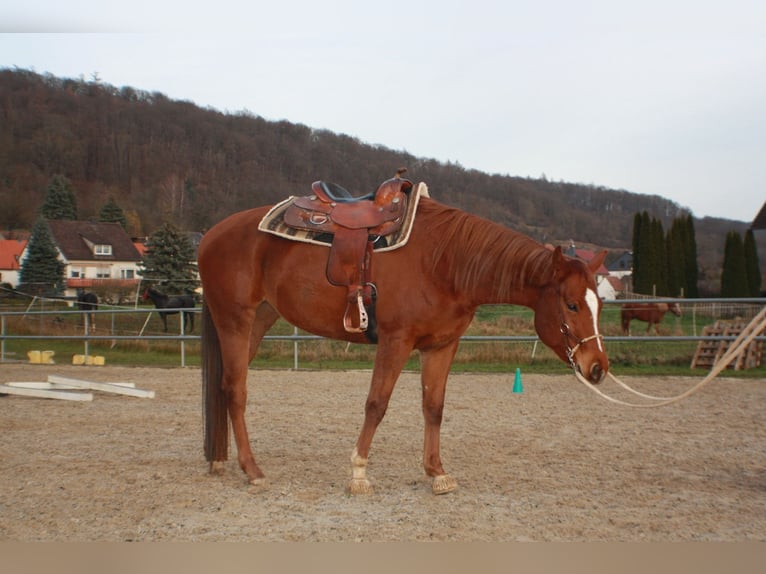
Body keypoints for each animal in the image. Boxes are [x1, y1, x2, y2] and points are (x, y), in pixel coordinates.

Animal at [198, 182, 609, 495]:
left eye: (599, 303)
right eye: (572, 304)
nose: (597, 367)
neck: (446, 261)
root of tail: (210, 235)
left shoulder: (441, 346)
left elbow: (434, 407)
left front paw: (437, 472)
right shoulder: (396, 341)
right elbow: (376, 404)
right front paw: (359, 473)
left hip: (259, 321)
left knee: (224, 386)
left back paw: (220, 460)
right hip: (235, 320)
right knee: (236, 390)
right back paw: (252, 470)